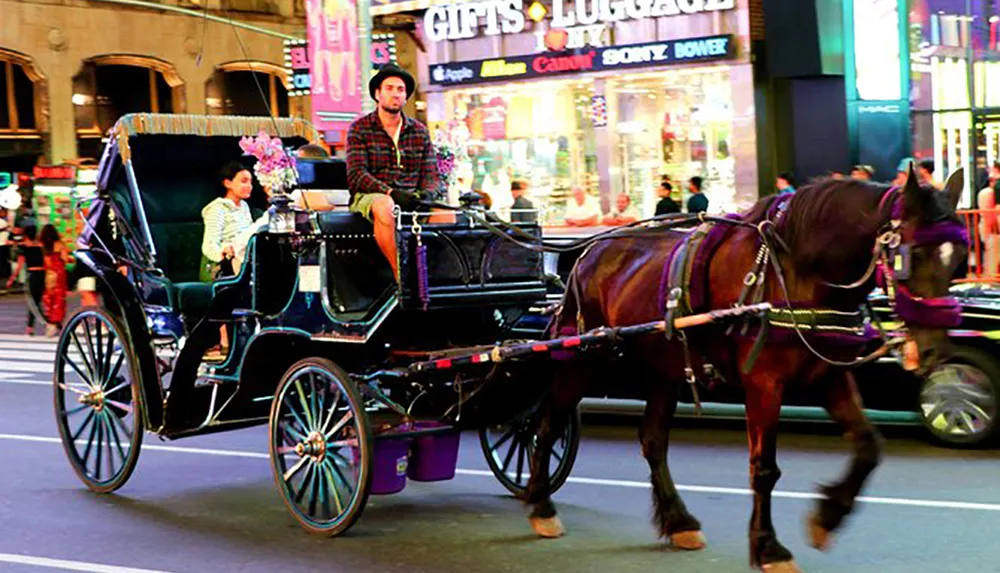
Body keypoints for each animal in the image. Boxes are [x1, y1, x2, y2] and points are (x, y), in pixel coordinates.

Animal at [524, 171, 968, 572]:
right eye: (913, 255)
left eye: (959, 261)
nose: (934, 350)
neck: (796, 272)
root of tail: (588, 254)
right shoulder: (763, 382)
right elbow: (764, 468)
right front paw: (769, 547)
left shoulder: (828, 375)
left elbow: (868, 446)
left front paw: (828, 516)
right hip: (582, 359)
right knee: (546, 425)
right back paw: (540, 505)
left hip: (665, 368)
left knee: (652, 440)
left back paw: (679, 520)